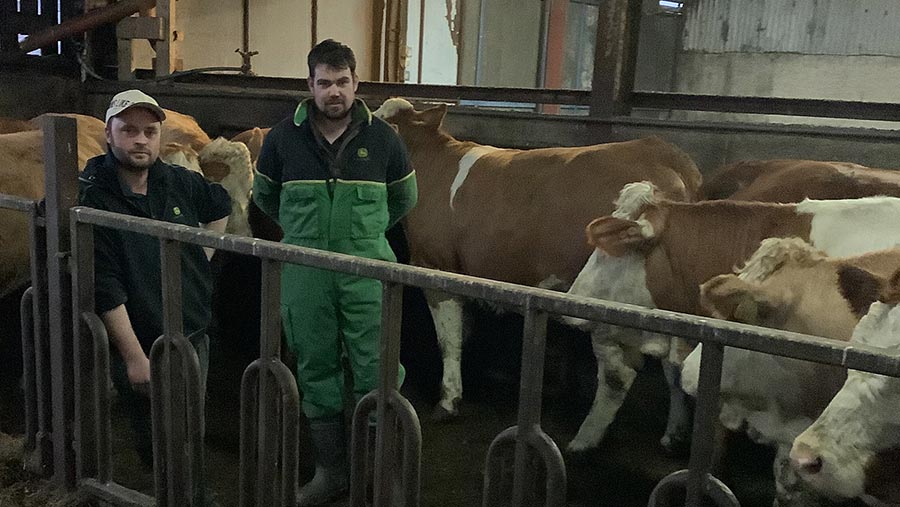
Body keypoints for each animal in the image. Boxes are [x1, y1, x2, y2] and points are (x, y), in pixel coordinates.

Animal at [370, 98, 708, 428]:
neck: (431, 162)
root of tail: (658, 149)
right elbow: (462, 333)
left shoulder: (436, 266)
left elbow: (449, 340)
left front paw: (448, 401)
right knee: (673, 364)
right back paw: (674, 430)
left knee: (618, 375)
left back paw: (584, 438)